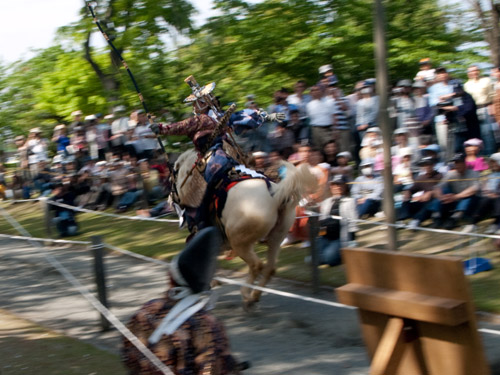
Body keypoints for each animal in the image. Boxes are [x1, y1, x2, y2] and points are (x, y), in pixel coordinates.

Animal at [175, 150, 316, 308]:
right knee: (269, 268)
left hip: (239, 242)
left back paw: (247, 296)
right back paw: (254, 295)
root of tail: (276, 195)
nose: (172, 199)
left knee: (256, 265)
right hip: (275, 238)